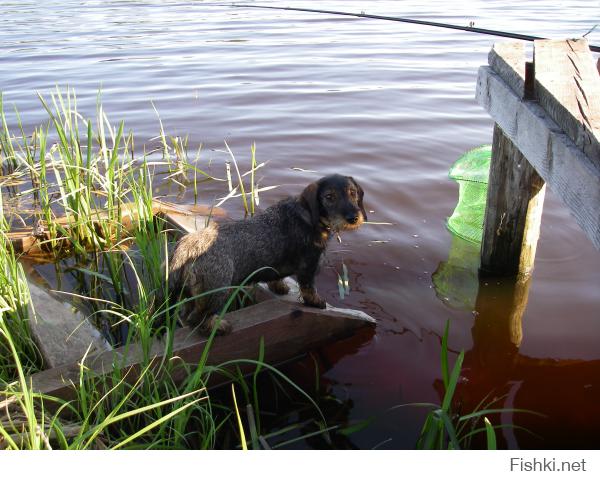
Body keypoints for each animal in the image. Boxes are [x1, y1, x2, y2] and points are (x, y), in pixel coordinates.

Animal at [166, 173, 368, 334]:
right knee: (198, 318)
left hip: (189, 293)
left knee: (185, 314)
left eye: (353, 192)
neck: (309, 216)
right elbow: (309, 288)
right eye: (329, 196)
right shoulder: (309, 266)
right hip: (217, 290)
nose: (353, 218)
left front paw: (280, 287)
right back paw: (218, 328)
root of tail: (187, 247)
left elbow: (276, 277)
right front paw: (316, 302)